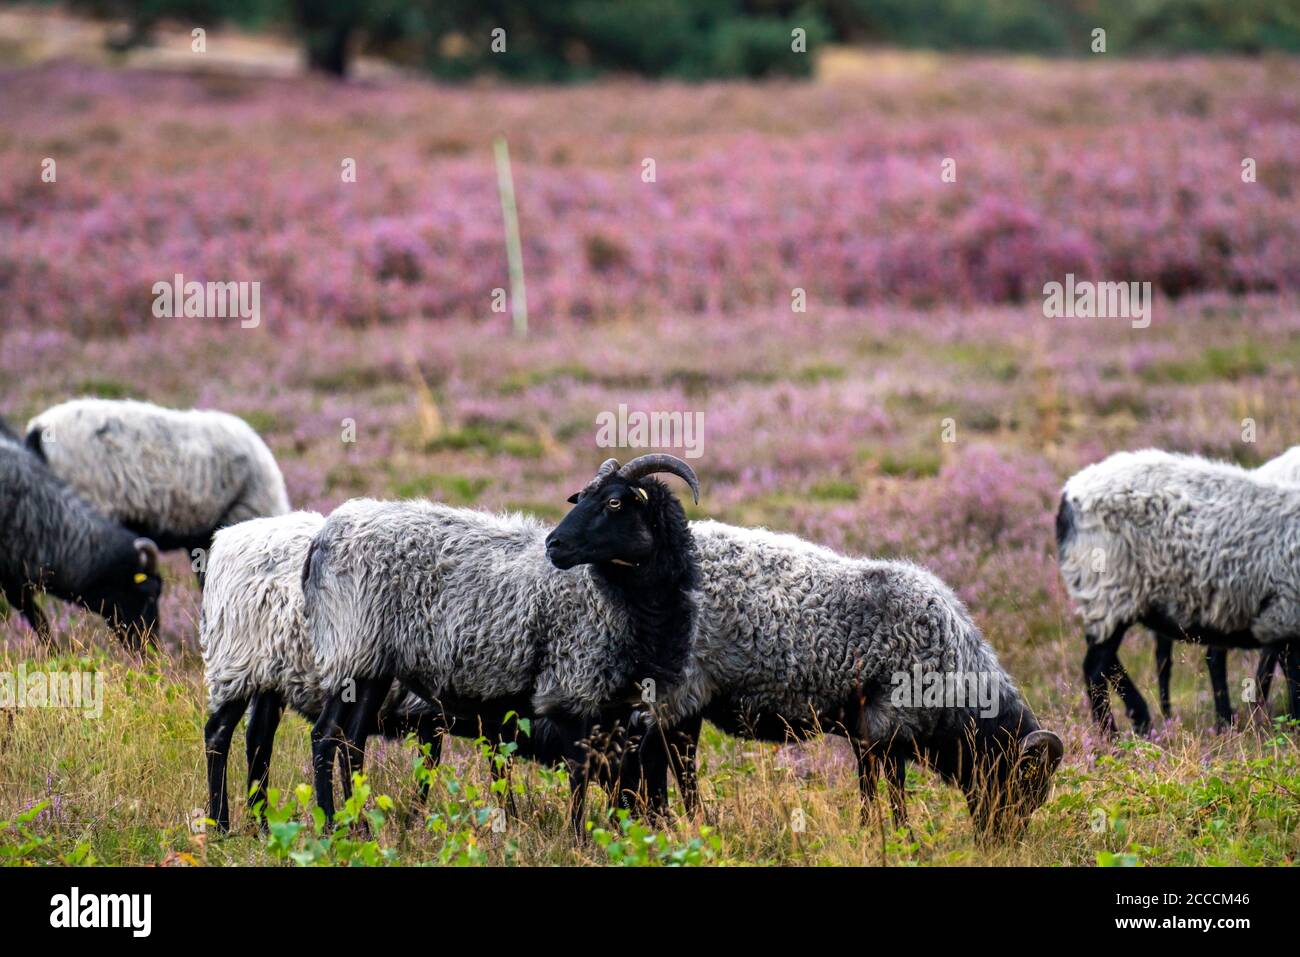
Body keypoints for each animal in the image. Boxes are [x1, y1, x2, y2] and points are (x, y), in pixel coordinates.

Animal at [195, 512, 436, 832]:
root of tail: (223, 539)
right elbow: (428, 774)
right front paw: (412, 822)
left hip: (271, 673)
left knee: (259, 736)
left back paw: (262, 825)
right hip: (238, 662)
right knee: (218, 733)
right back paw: (222, 825)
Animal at [600, 520, 1066, 842]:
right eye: (1026, 782)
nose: (1002, 844)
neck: (955, 678)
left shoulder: (867, 735)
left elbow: (870, 790)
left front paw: (872, 834)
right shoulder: (888, 726)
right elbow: (893, 792)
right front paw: (903, 841)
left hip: (684, 702)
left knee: (670, 763)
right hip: (675, 692)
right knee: (654, 761)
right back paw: (667, 825)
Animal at [1055, 447, 1300, 733]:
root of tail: (1069, 494)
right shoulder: (1284, 616)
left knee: (1110, 662)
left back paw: (1145, 719)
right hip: (1109, 590)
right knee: (1095, 669)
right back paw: (1113, 735)